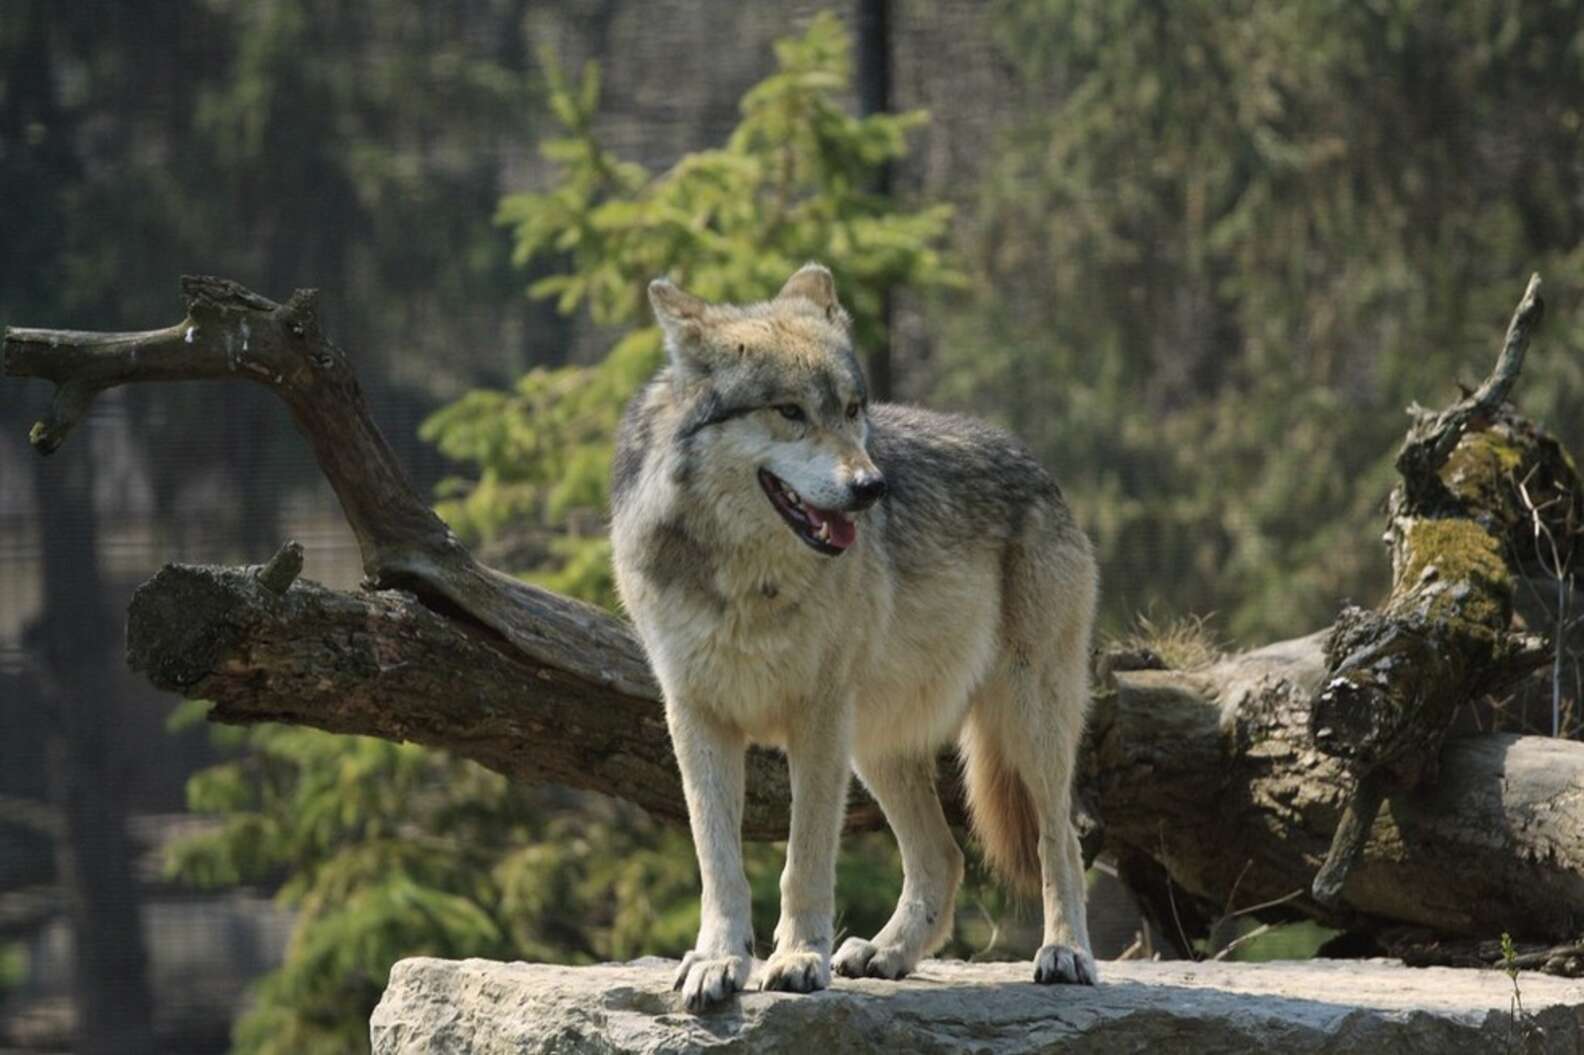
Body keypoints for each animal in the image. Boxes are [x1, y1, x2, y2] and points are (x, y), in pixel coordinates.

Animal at [610, 263, 1098, 1012]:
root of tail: (1032, 460)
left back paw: (1065, 952)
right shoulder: (696, 717)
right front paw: (719, 961)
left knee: (1058, 841)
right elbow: (719, 861)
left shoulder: (817, 717)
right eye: (788, 411)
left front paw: (797, 960)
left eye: (850, 409)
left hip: (1023, 720)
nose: (872, 487)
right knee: (943, 856)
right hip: (875, 744)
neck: (749, 583)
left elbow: (803, 858)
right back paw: (888, 953)